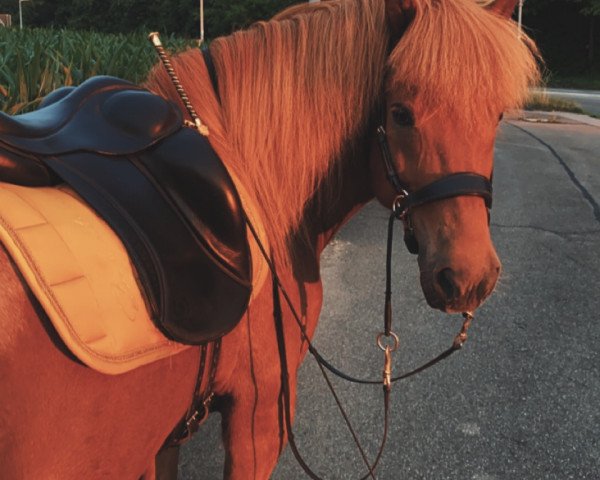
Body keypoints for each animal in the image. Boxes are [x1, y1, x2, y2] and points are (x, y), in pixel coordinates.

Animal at [0, 0, 540, 478]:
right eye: (402, 113)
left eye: (495, 115)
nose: (469, 277)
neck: (249, 178)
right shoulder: (260, 413)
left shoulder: (166, 438)